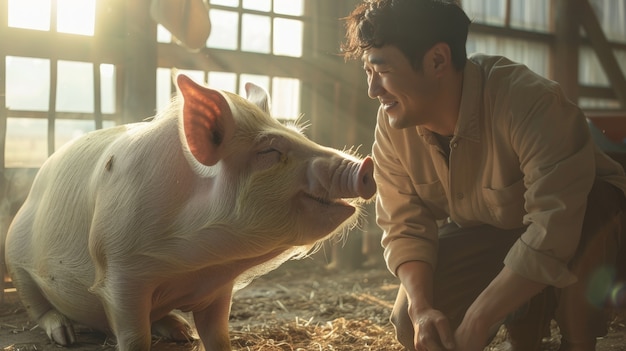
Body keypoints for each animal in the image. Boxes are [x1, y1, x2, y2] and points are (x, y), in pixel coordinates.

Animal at [3, 73, 376, 351]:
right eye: (270, 151)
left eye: (299, 135)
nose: (367, 165)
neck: (196, 263)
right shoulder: (119, 272)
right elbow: (134, 336)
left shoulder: (220, 287)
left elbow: (217, 334)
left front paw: (195, 336)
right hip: (16, 259)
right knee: (38, 305)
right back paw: (64, 334)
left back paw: (180, 330)